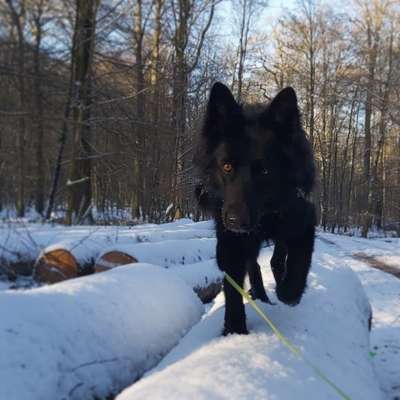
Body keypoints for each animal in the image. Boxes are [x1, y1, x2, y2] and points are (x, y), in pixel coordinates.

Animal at [194, 83, 316, 336]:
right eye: (227, 166)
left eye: (265, 171)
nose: (235, 221)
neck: (265, 216)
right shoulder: (230, 240)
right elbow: (232, 288)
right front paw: (234, 330)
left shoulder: (304, 217)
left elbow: (298, 263)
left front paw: (288, 293)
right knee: (255, 263)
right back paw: (259, 293)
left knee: (277, 257)